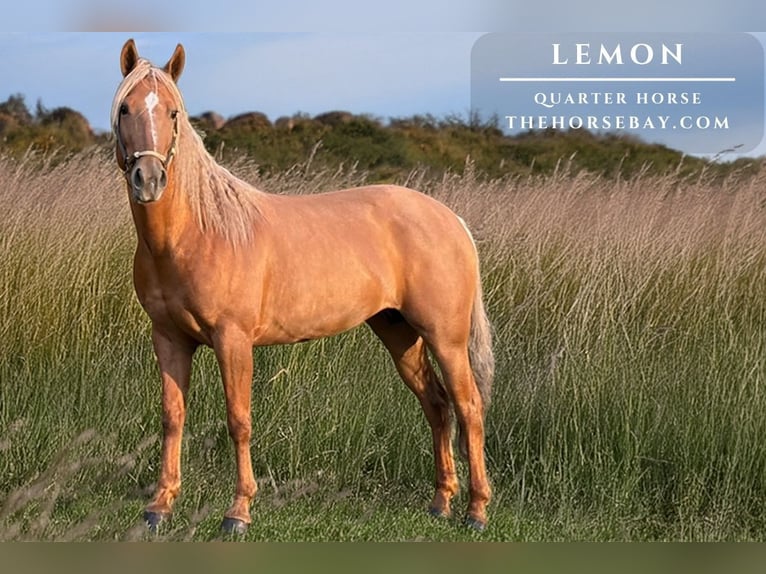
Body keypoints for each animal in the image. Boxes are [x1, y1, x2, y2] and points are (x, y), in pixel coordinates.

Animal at [112, 38, 494, 534]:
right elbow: (172, 417)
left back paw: (476, 511)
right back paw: (440, 503)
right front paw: (160, 507)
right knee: (437, 404)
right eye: (126, 109)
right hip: (399, 334)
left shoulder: (233, 340)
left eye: (173, 112)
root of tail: (451, 219)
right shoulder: (170, 339)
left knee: (468, 407)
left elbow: (239, 420)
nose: (149, 179)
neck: (197, 233)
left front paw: (238, 512)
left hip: (445, 338)